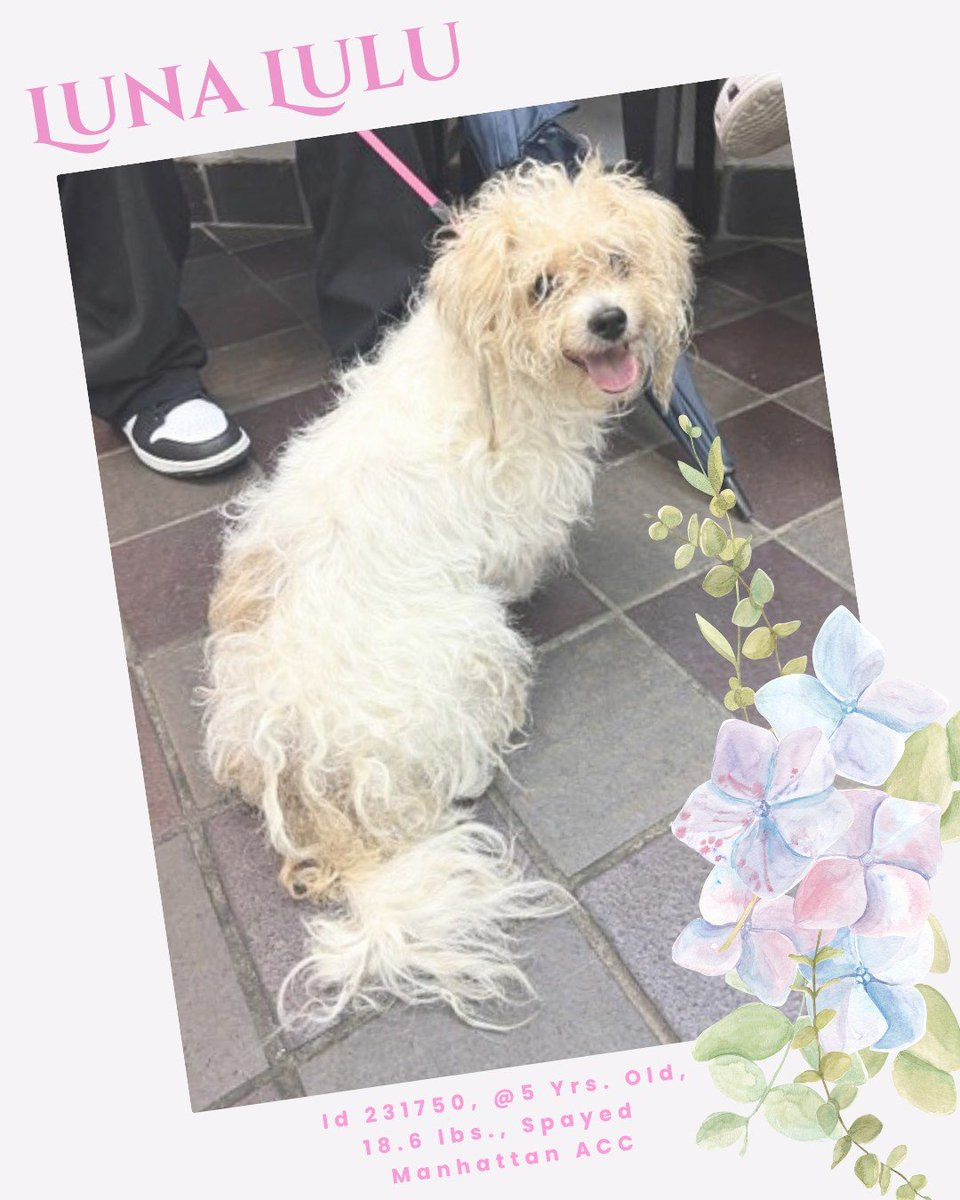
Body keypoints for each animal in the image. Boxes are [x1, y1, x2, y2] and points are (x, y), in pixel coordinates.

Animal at [201, 157, 695, 1032]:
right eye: (541, 285)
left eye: (617, 261)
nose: (609, 320)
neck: (498, 368)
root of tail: (306, 775)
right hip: (475, 640)